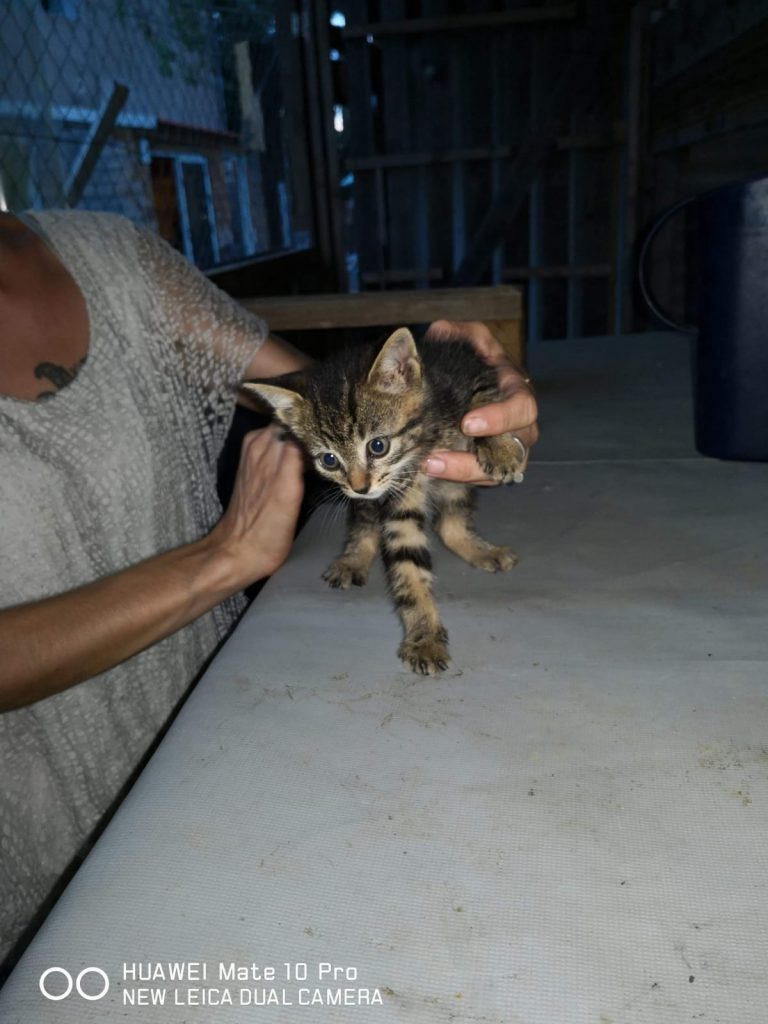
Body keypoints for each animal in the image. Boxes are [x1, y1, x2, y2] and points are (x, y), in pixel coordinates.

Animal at [242, 327, 524, 674]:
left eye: (378, 446)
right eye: (329, 460)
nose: (360, 487)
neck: (423, 443)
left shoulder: (468, 368)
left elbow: (484, 401)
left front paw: (500, 448)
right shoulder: (396, 498)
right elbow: (406, 560)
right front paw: (424, 637)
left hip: (453, 487)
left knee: (450, 524)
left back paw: (483, 550)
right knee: (370, 521)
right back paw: (353, 558)